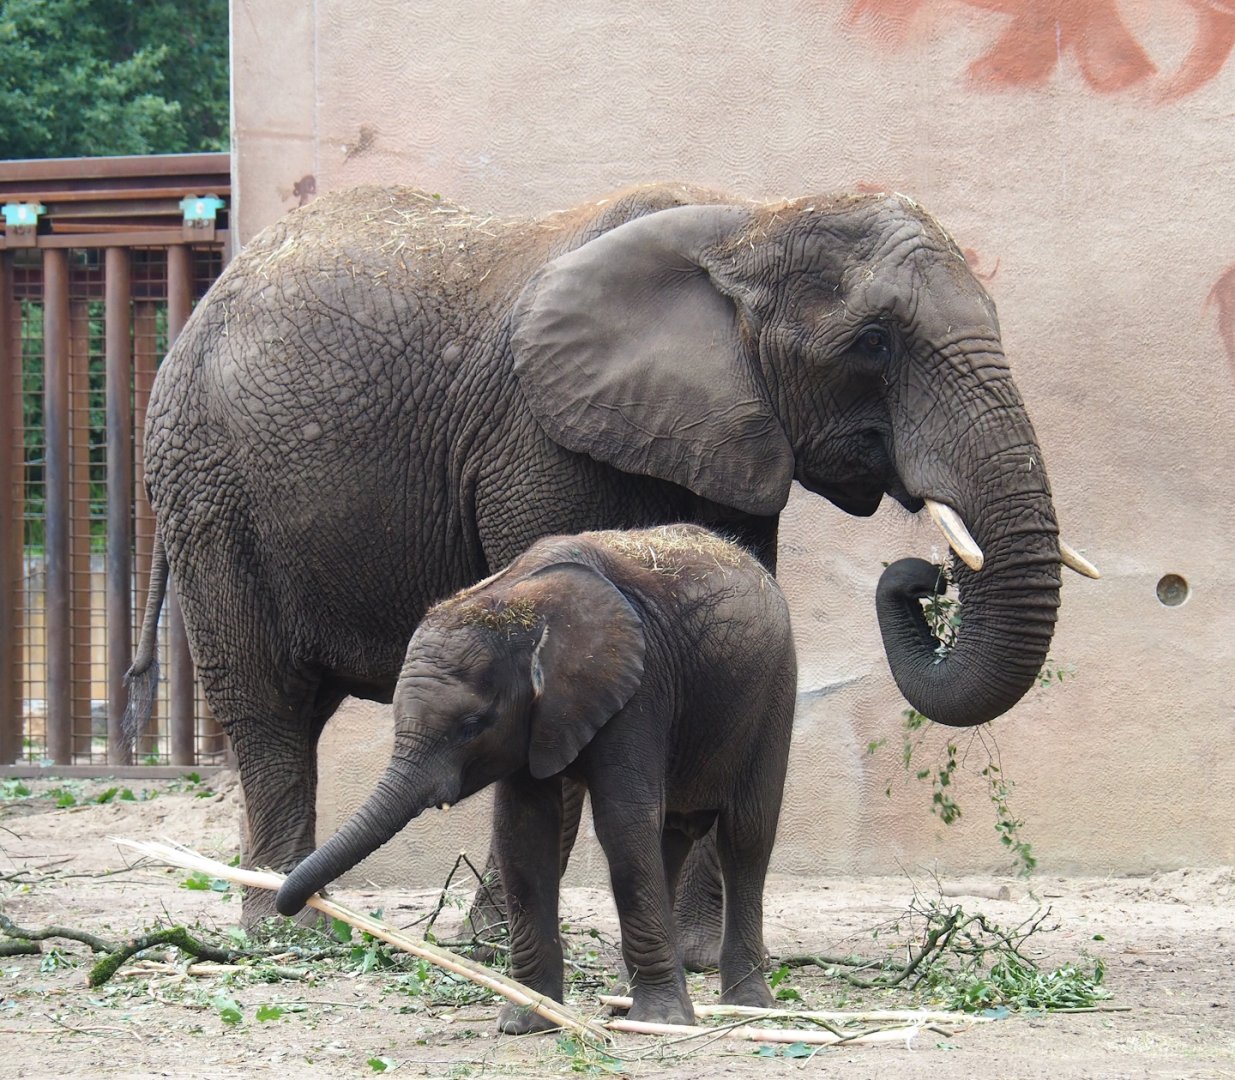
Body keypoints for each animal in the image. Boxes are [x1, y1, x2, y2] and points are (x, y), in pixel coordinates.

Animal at [124, 180, 1096, 932]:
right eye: (874, 343)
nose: (923, 574)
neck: (748, 224)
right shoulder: (541, 440)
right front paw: (501, 945)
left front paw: (697, 955)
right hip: (207, 487)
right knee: (269, 709)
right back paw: (286, 935)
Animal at [275, 524, 798, 1030]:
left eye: (472, 725)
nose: (292, 902)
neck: (518, 602)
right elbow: (524, 831)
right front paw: (527, 1022)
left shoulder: (638, 688)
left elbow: (622, 824)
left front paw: (661, 1021)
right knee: (670, 836)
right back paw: (624, 1002)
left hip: (774, 691)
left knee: (745, 837)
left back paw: (745, 1008)